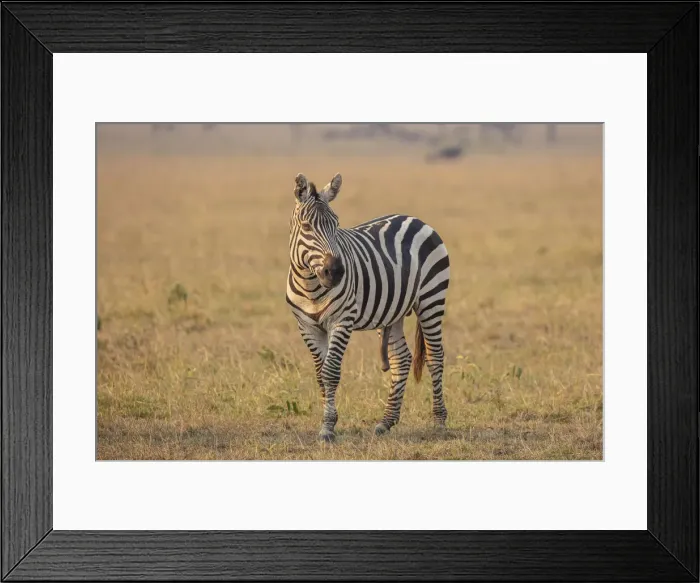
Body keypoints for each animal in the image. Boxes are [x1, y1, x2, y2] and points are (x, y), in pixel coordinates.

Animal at [286, 172, 450, 442]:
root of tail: (414, 218)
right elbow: (320, 374)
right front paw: (326, 422)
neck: (311, 285)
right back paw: (386, 422)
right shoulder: (306, 326)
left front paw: (328, 427)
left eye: (336, 224)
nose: (336, 271)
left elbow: (331, 372)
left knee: (435, 356)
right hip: (393, 311)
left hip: (432, 298)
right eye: (307, 227)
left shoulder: (342, 320)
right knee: (401, 359)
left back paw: (439, 421)